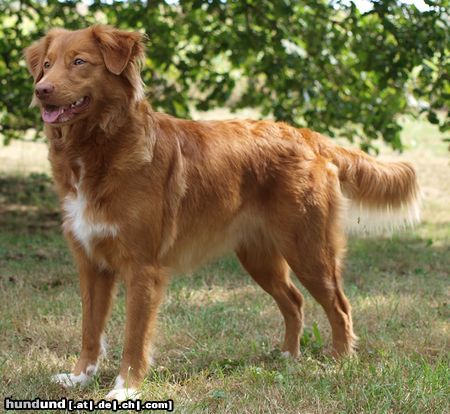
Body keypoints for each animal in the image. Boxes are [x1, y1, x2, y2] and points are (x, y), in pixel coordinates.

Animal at [23, 24, 418, 400]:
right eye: (47, 65)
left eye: (79, 62)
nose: (41, 90)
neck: (99, 147)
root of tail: (307, 136)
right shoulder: (91, 263)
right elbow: (90, 330)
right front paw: (79, 377)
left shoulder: (142, 269)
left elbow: (134, 339)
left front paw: (126, 387)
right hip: (259, 257)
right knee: (295, 301)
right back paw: (288, 357)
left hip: (309, 251)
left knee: (340, 306)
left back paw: (340, 359)